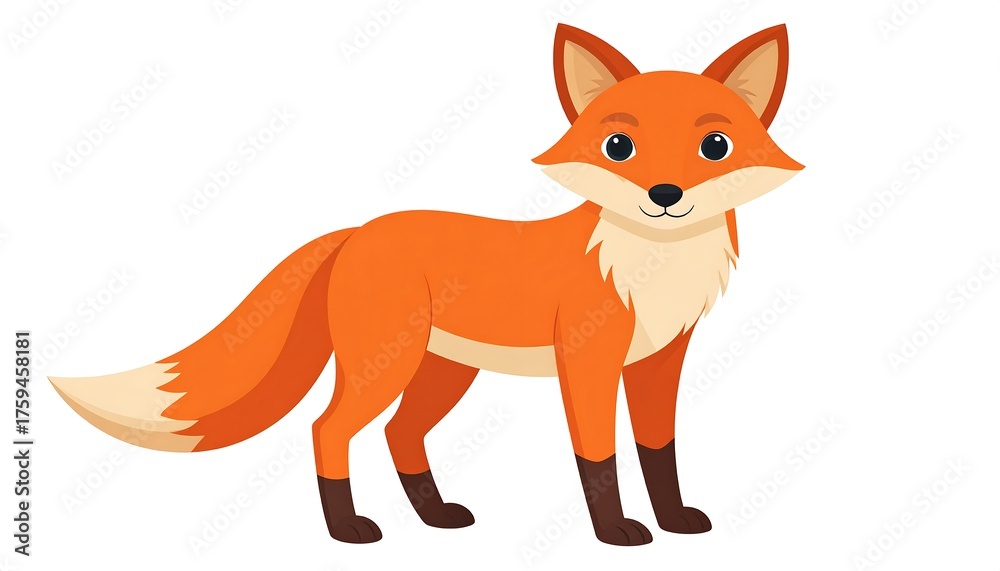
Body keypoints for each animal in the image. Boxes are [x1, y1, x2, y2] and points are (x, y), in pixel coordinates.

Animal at [50, 23, 802, 545]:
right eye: (619, 147)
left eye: (714, 147)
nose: (665, 195)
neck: (650, 268)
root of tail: (359, 230)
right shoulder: (587, 361)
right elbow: (599, 456)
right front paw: (615, 533)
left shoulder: (658, 361)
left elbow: (659, 452)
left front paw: (674, 520)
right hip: (387, 365)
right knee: (329, 429)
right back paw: (347, 530)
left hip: (440, 370)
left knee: (399, 435)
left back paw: (435, 515)